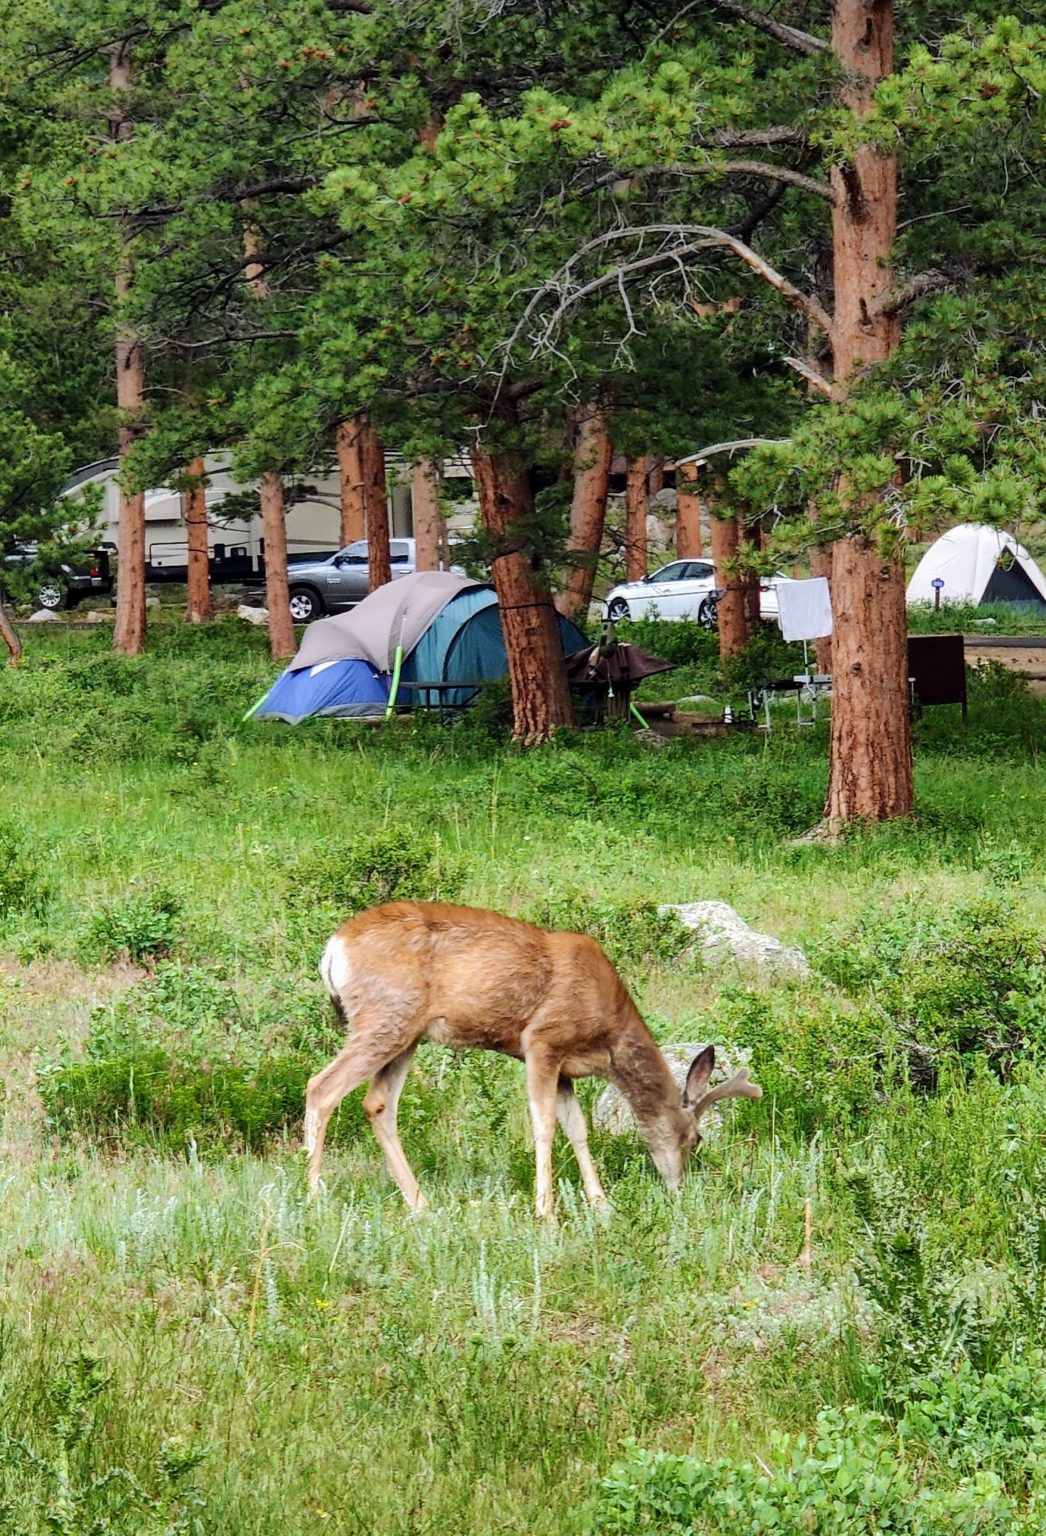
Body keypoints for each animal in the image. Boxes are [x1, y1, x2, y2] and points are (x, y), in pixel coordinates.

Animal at [302, 897, 758, 1210]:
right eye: (695, 1137)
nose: (680, 1187)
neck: (608, 1033)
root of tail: (333, 948)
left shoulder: (567, 1070)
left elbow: (578, 1128)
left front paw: (600, 1204)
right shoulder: (542, 1041)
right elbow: (544, 1125)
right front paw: (546, 1210)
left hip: (407, 1034)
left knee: (378, 1104)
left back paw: (419, 1203)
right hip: (385, 1016)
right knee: (321, 1087)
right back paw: (314, 1195)